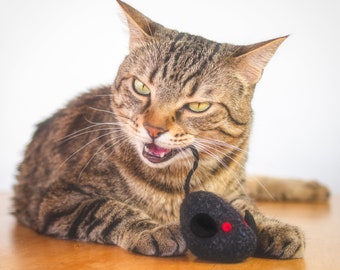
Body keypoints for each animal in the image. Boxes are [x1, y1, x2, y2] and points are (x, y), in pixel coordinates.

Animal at [13, 1, 330, 260]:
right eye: (141, 87)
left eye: (198, 106)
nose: (153, 129)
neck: (176, 181)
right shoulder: (58, 198)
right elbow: (110, 209)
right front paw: (152, 230)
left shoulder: (231, 192)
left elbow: (247, 207)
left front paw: (272, 226)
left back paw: (312, 188)